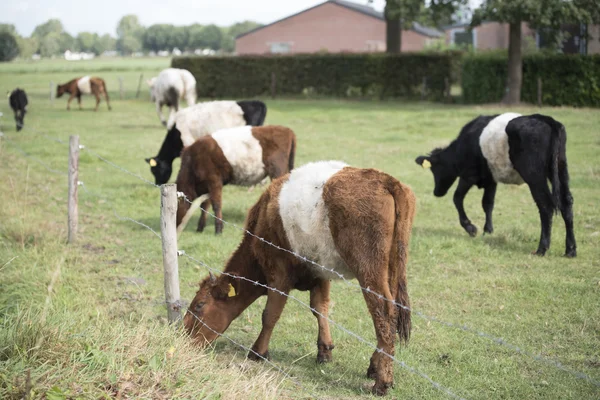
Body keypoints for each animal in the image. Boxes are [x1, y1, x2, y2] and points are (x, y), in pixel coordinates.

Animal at [183, 160, 418, 396]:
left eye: (199, 305)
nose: (183, 336)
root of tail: (386, 180)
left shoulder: (278, 273)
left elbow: (270, 314)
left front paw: (258, 352)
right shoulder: (320, 272)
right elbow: (320, 308)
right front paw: (324, 351)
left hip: (369, 269)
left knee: (383, 312)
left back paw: (382, 382)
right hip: (391, 269)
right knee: (392, 312)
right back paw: (375, 367)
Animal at [418, 112, 576, 256]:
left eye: (435, 169)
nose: (436, 192)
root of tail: (546, 119)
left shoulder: (468, 175)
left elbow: (457, 198)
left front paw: (471, 228)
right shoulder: (490, 179)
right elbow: (488, 203)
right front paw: (488, 230)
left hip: (534, 175)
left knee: (546, 205)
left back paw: (541, 249)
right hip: (561, 168)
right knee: (566, 202)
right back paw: (570, 250)